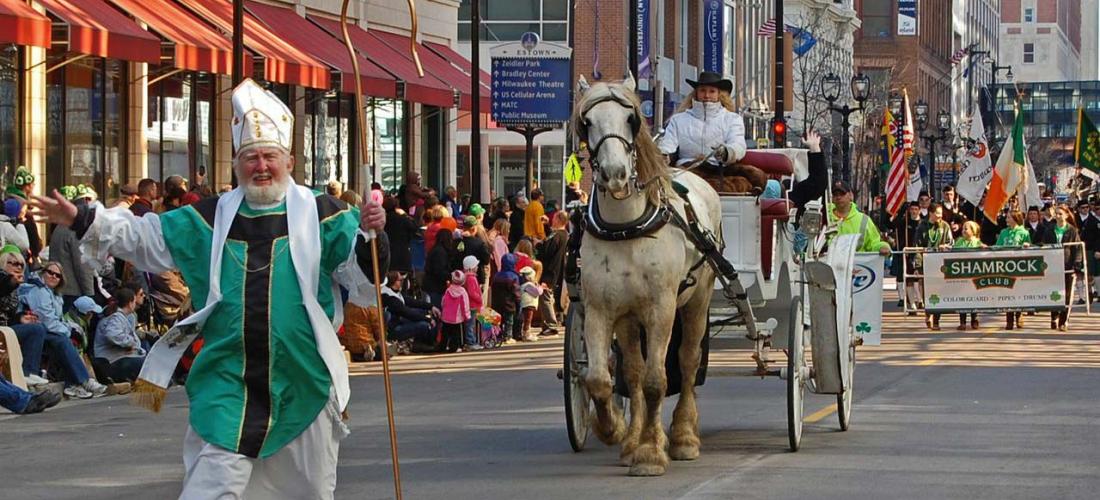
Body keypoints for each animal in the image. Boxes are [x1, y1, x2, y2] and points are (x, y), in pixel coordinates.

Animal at [576, 76, 721, 474]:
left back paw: (684, 436)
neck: (627, 227)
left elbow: (658, 381)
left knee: (687, 361)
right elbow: (601, 379)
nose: (615, 174)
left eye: (631, 118)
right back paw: (632, 438)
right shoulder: (599, 309)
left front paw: (652, 452)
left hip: (697, 300)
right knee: (633, 371)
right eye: (586, 122)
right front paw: (613, 429)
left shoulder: (661, 308)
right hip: (628, 316)